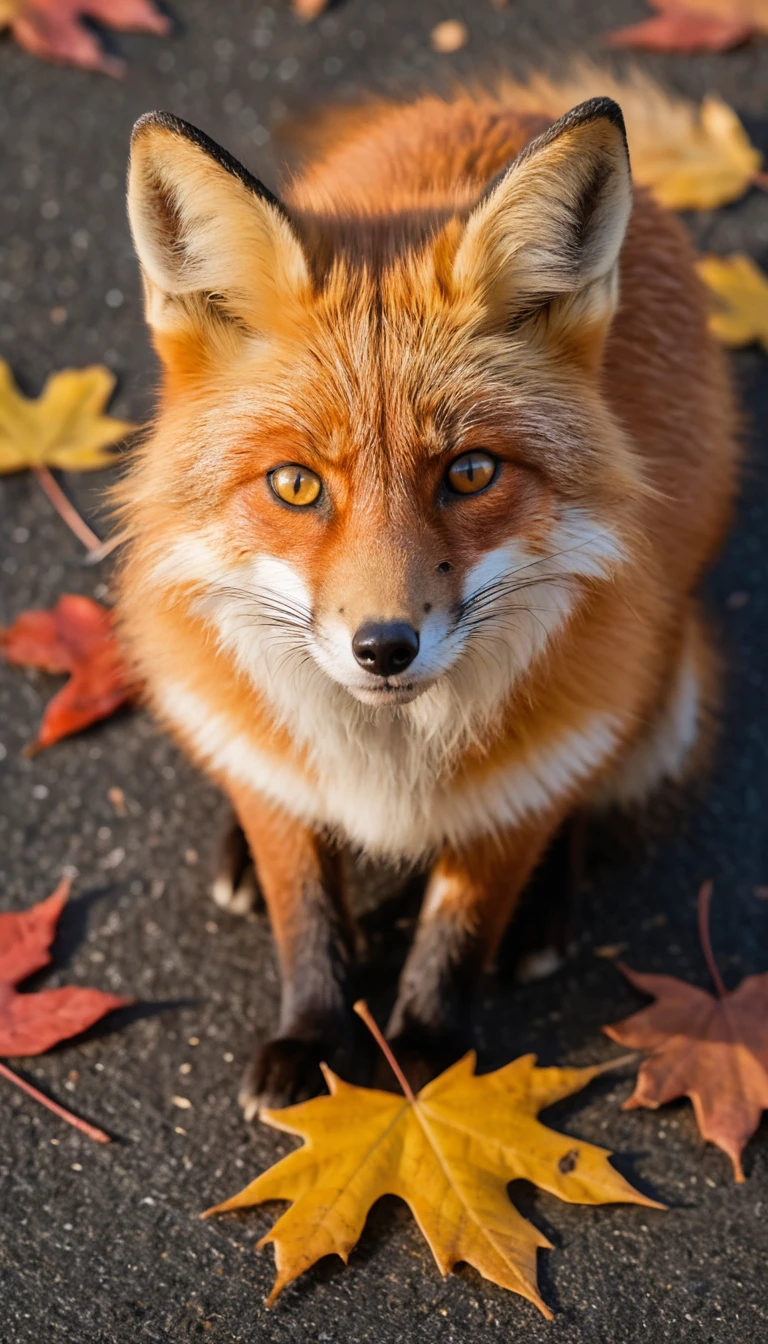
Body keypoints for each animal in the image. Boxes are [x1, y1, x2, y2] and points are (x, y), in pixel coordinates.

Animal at [118, 69, 738, 1117]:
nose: (383, 647)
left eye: (470, 473)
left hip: (668, 689)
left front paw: (428, 1064)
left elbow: (464, 920)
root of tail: (488, 103)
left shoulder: (538, 757)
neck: (392, 761)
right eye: (296, 486)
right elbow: (305, 905)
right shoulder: (260, 738)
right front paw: (314, 1036)